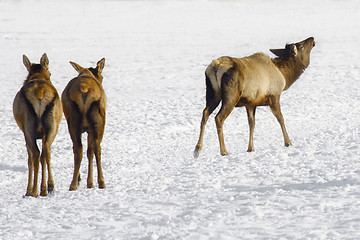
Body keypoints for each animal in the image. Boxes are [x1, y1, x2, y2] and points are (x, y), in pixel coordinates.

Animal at [13, 53, 62, 197]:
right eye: (50, 73)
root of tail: (40, 92)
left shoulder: (25, 133)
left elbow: (30, 159)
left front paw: (28, 189)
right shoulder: (45, 133)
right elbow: (43, 158)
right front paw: (43, 187)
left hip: (28, 126)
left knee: (35, 154)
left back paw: (33, 191)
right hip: (52, 126)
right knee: (46, 151)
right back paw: (49, 187)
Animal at [62, 58, 106, 191]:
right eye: (102, 76)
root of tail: (84, 88)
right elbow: (90, 152)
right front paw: (90, 182)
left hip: (72, 123)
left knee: (78, 149)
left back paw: (73, 184)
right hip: (98, 122)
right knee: (97, 148)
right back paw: (101, 182)